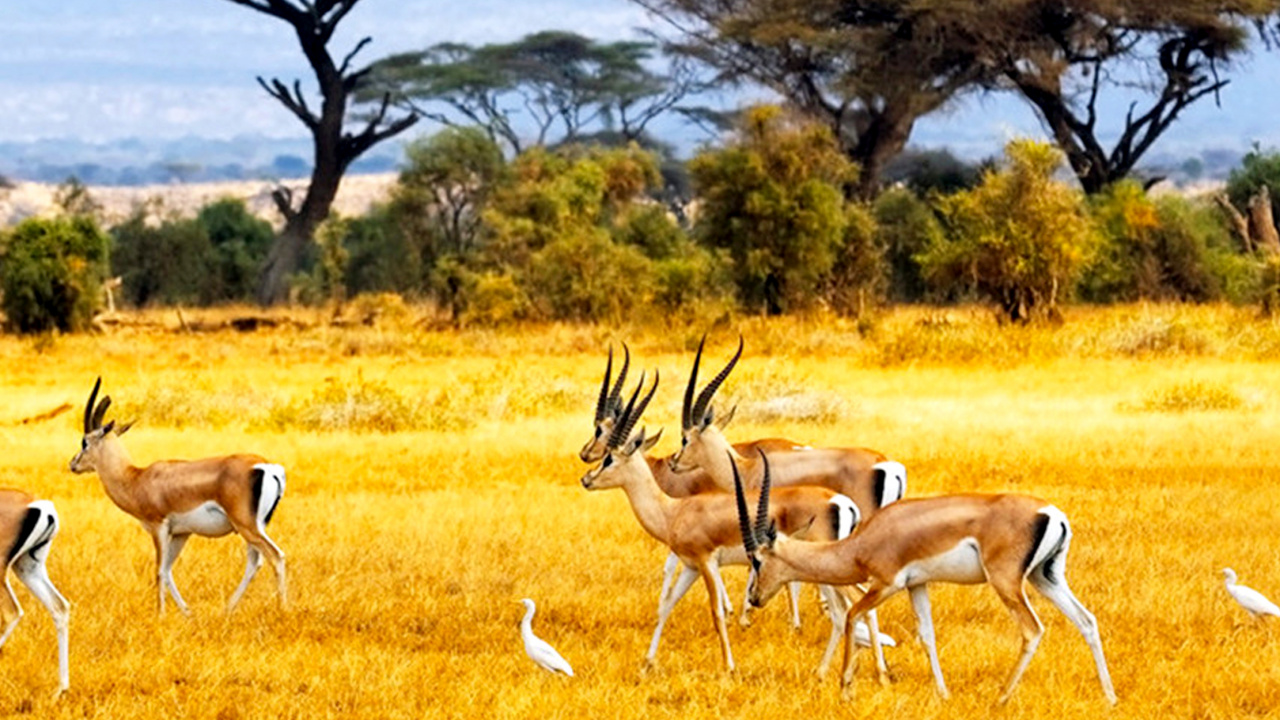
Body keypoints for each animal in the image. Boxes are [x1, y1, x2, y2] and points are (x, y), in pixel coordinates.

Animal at [68, 377, 287, 615]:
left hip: (246, 526)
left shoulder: (159, 527)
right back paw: (227, 609)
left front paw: (160, 614)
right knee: (255, 563)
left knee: (276, 556)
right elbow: (168, 571)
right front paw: (187, 612)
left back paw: (282, 609)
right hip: (255, 527)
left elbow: (159, 571)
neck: (136, 478)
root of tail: (265, 466)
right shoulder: (182, 533)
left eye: (84, 442)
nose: (73, 464)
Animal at [579, 370, 891, 675]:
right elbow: (667, 605)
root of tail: (841, 502)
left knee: (852, 605)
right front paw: (647, 663)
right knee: (853, 606)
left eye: (608, 459)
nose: (586, 478)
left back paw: (867, 670)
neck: (673, 510)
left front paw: (729, 666)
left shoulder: (706, 562)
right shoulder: (691, 567)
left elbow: (717, 611)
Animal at [732, 456, 1117, 706]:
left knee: (1032, 629)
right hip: (1045, 578)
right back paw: (1110, 698)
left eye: (756, 559)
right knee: (1087, 621)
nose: (755, 598)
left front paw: (845, 689)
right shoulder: (918, 585)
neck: (863, 542)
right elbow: (927, 635)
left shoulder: (886, 584)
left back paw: (1001, 698)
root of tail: (1051, 513)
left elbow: (854, 615)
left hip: (1007, 583)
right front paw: (943, 693)